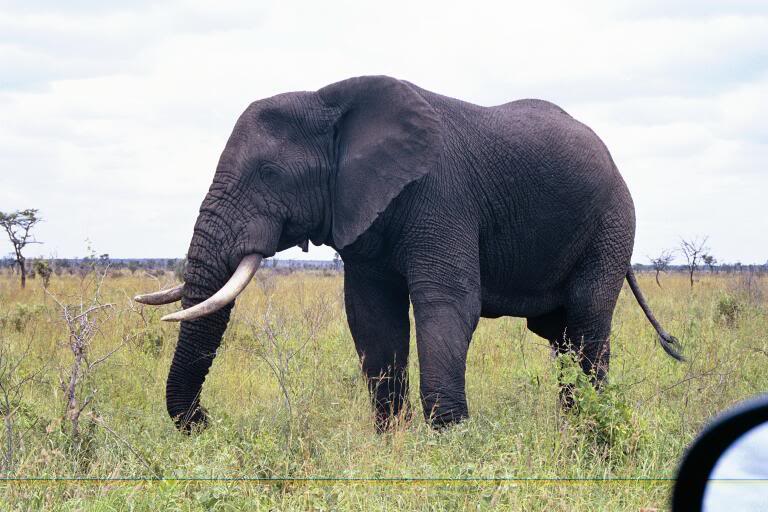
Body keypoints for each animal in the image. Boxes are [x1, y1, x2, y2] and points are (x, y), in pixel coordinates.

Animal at [135, 75, 683, 433]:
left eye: (269, 174)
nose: (206, 421)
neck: (330, 102)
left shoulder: (443, 194)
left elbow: (448, 305)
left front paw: (451, 443)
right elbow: (372, 317)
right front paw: (392, 439)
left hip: (613, 221)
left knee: (588, 320)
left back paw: (589, 430)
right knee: (558, 332)